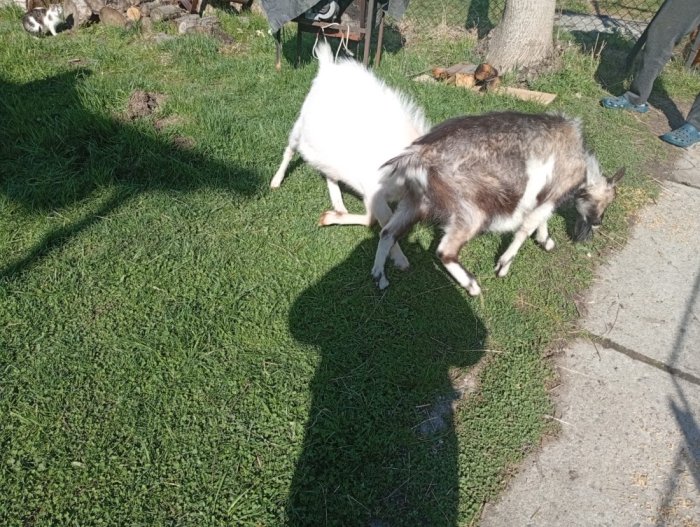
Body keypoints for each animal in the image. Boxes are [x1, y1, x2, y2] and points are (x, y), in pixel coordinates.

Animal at [271, 41, 430, 270]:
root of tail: (328, 67)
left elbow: (377, 220)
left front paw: (331, 216)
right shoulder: (375, 190)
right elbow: (381, 224)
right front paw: (400, 259)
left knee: (329, 171)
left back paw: (338, 203)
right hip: (300, 126)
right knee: (290, 150)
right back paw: (276, 181)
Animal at [371, 111, 625, 295]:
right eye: (605, 203)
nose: (596, 224)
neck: (582, 164)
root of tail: (418, 155)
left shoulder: (544, 197)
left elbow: (540, 219)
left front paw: (545, 240)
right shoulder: (554, 192)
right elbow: (527, 226)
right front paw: (504, 265)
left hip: (415, 202)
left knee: (387, 232)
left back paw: (379, 276)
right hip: (471, 212)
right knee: (444, 251)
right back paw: (472, 286)